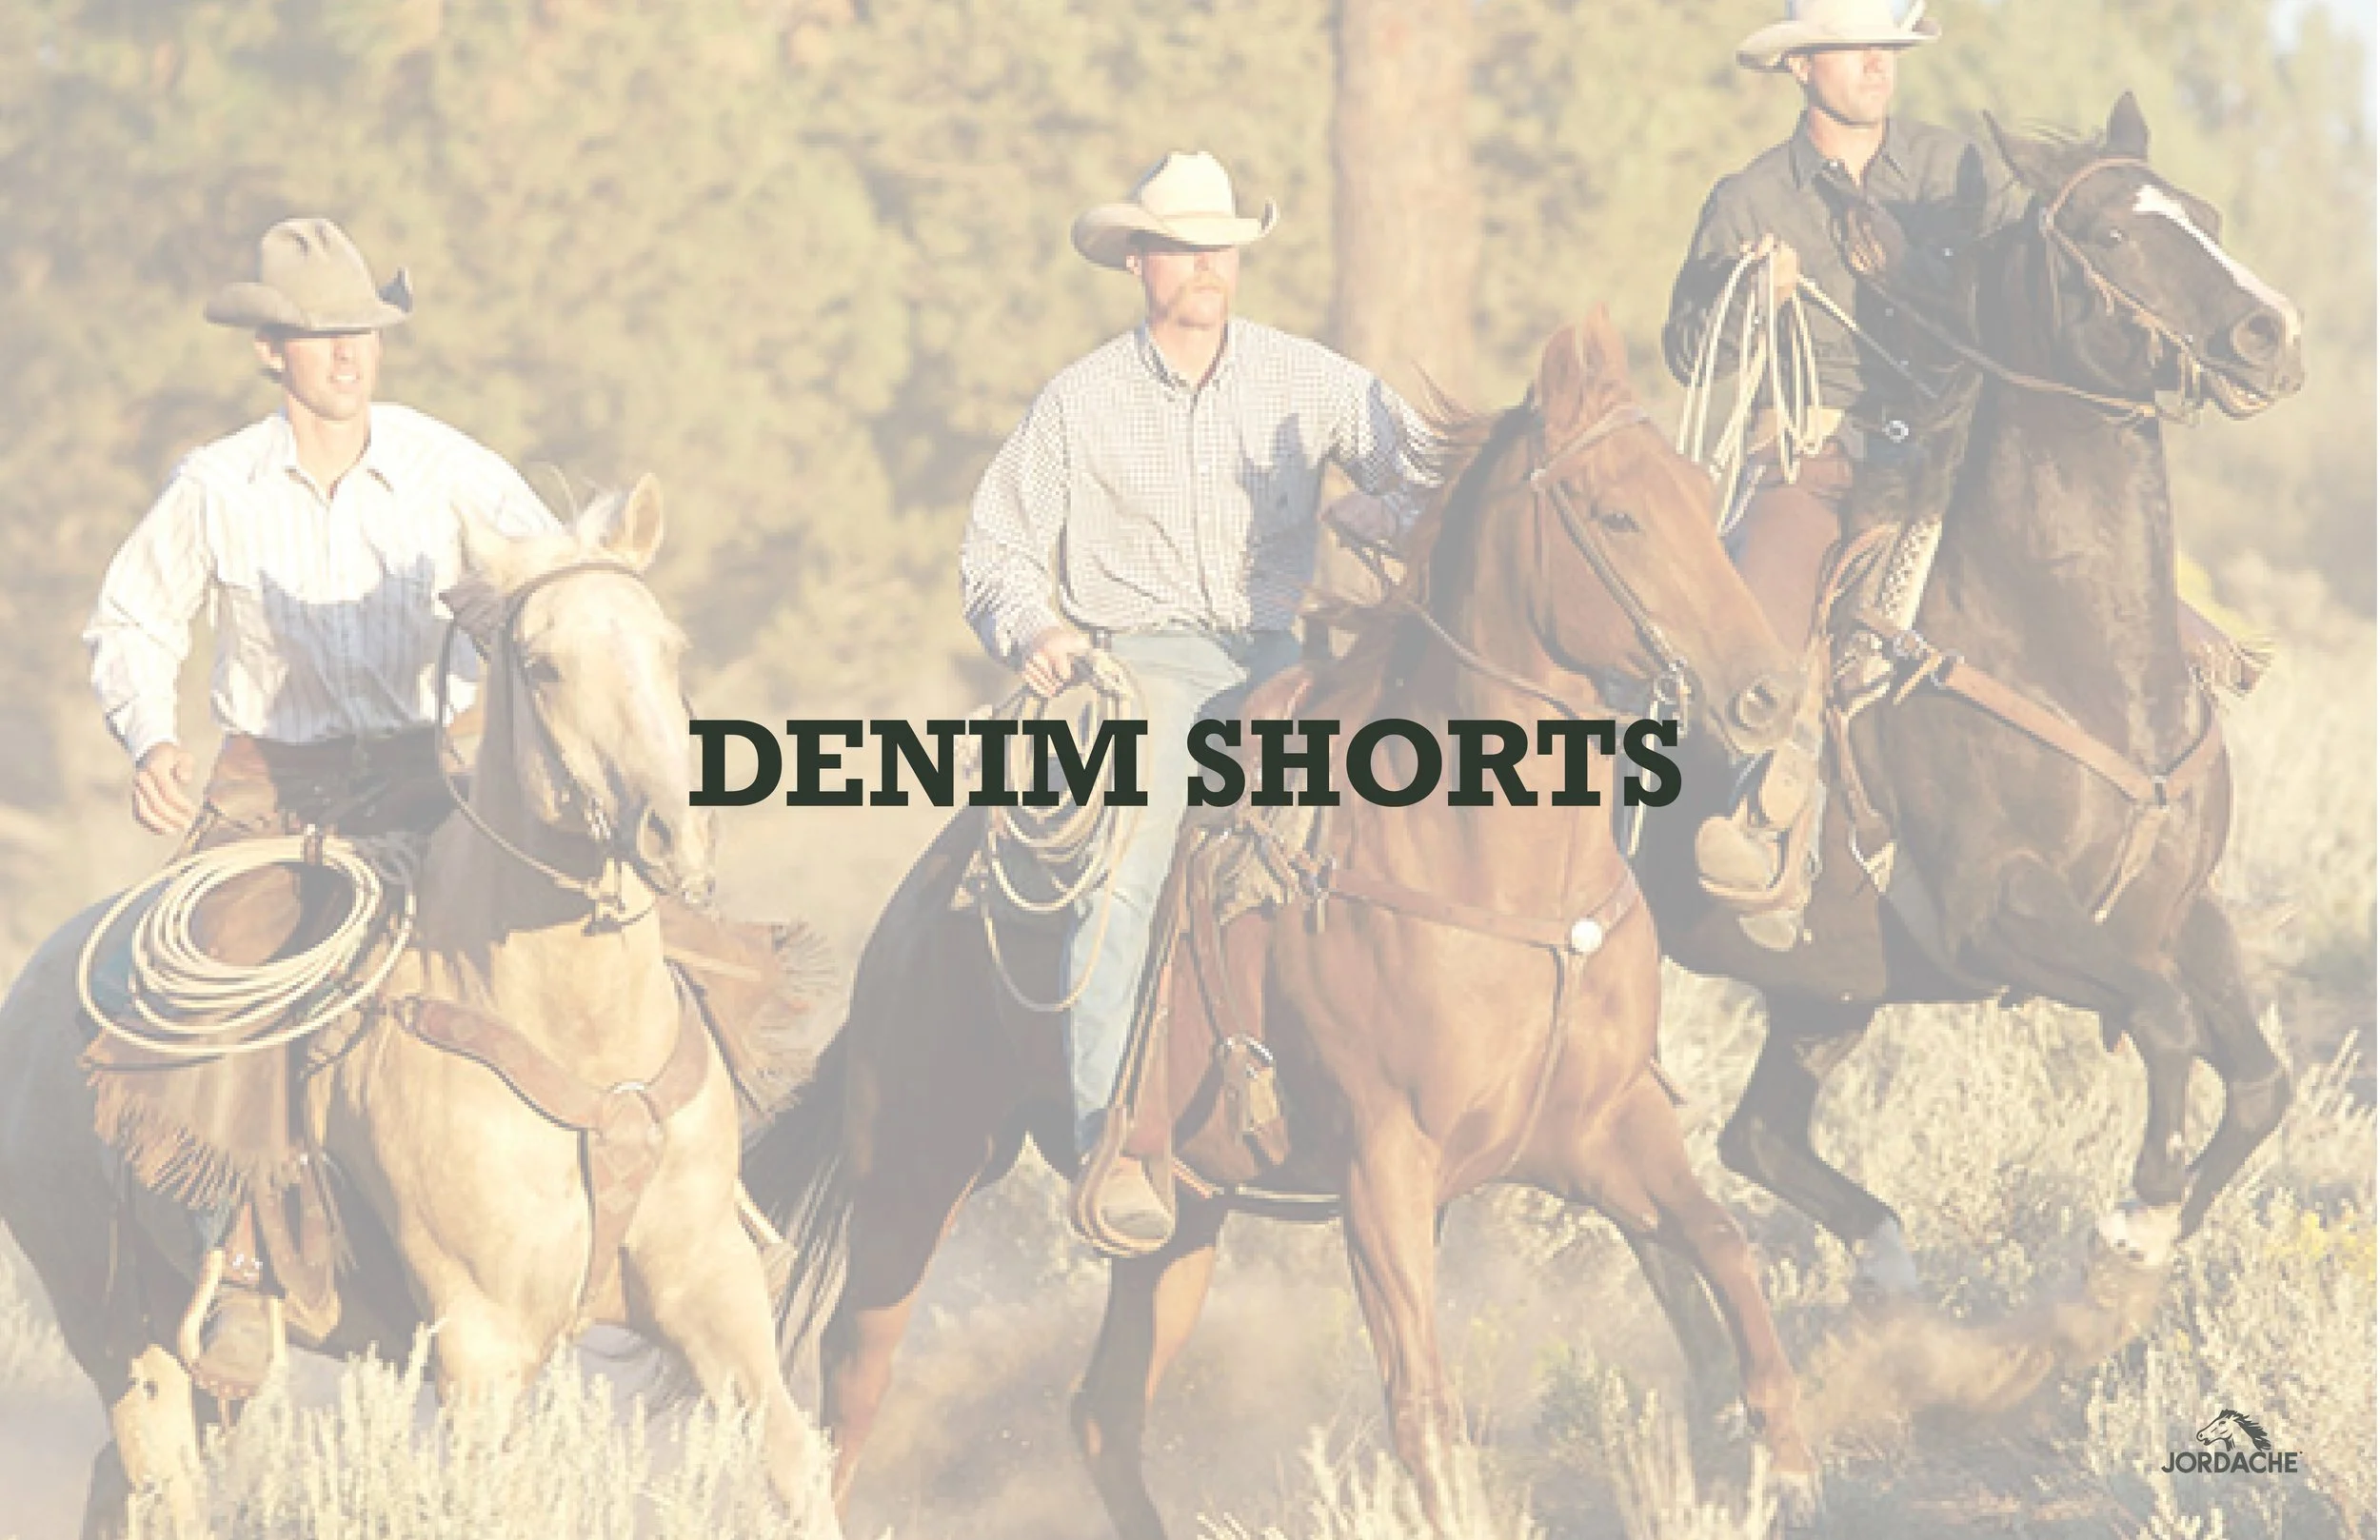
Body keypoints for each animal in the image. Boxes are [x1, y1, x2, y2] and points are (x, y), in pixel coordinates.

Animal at [0, 481, 828, 1535]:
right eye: (543, 666)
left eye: (668, 646)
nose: (670, 835)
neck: (583, 1040)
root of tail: (32, 987)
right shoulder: (481, 1337)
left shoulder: (711, 1288)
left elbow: (795, 1466)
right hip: (110, 1324)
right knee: (161, 1474)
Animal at [744, 309, 1815, 1537]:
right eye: (1614, 512)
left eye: (1698, 488)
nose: (1768, 693)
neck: (1490, 873)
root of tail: (915, 909)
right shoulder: (1383, 1164)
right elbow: (1422, 1405)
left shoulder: (1602, 1130)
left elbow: (1726, 1250)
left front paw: (1788, 1460)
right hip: (917, 1175)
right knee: (851, 1383)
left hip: (1179, 1223)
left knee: (1102, 1410)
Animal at [1639, 94, 2306, 1344]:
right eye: (2109, 235)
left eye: (2203, 214)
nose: (2268, 330)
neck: (2069, 647)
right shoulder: (1998, 911)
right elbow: (2162, 1021)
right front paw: (2126, 1233)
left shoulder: (2180, 907)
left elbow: (2255, 1078)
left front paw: (2142, 1248)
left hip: (1821, 991)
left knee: (1754, 1137)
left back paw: (1885, 1282)